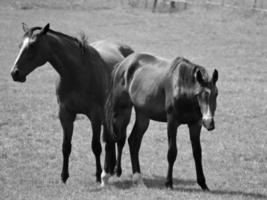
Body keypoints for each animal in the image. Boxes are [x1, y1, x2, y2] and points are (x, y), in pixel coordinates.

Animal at [9, 22, 134, 184]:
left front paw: (98, 174)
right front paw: (64, 176)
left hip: (124, 112)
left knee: (120, 139)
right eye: (20, 45)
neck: (78, 72)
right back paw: (109, 170)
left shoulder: (95, 116)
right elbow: (66, 146)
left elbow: (96, 146)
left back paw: (116, 170)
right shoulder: (65, 114)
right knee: (110, 140)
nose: (15, 73)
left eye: (32, 46)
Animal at [103, 52, 219, 190]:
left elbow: (197, 153)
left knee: (133, 141)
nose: (209, 123)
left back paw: (138, 178)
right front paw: (168, 182)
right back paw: (107, 175)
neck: (182, 87)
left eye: (216, 94)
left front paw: (203, 183)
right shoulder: (172, 122)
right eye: (200, 94)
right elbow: (172, 152)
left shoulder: (195, 124)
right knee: (113, 137)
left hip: (143, 116)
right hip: (121, 111)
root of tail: (122, 64)